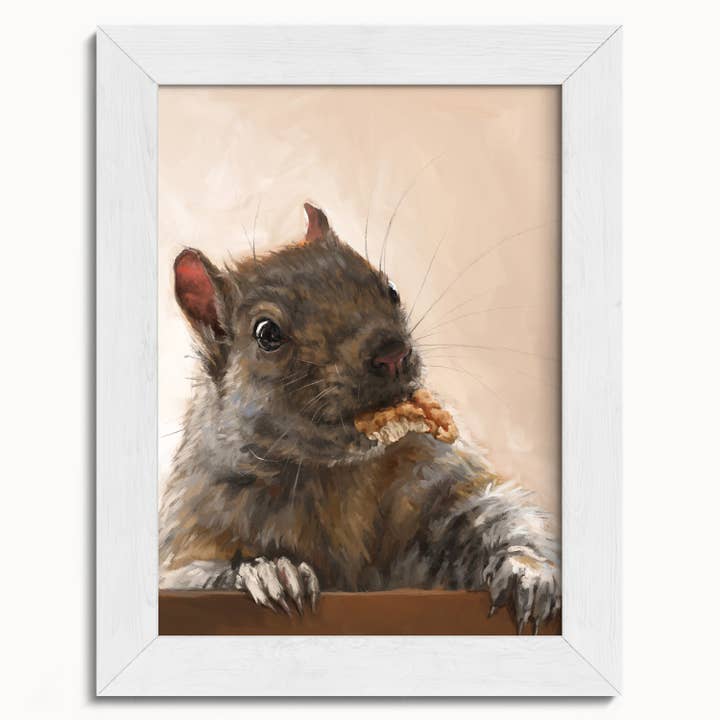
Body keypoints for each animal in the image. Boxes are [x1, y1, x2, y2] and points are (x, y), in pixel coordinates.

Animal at [159, 202, 560, 633]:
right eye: (267, 333)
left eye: (391, 289)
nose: (392, 353)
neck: (335, 473)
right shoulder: (193, 527)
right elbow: (187, 574)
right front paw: (267, 572)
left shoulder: (432, 476)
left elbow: (490, 509)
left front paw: (527, 570)